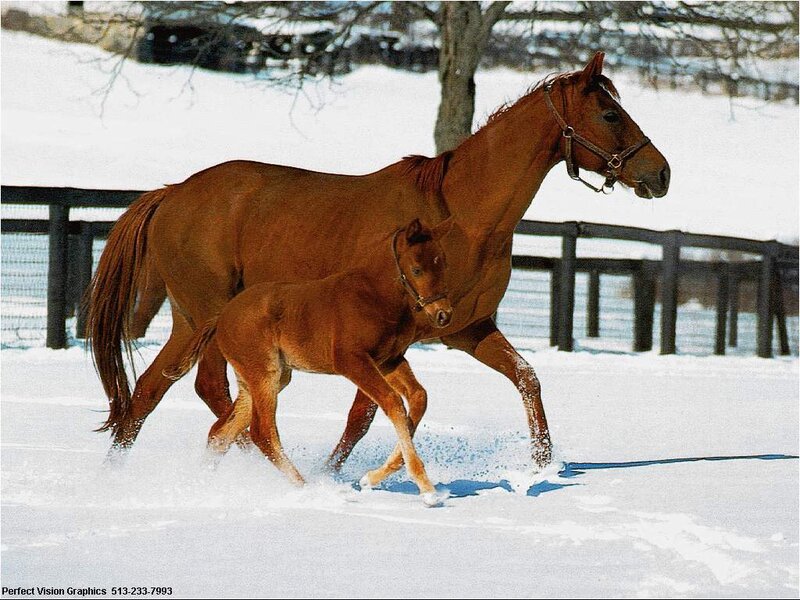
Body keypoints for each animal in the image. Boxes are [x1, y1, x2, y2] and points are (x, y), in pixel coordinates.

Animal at [87, 51, 670, 470]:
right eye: (610, 113)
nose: (661, 173)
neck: (459, 218)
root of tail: (172, 193)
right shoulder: (381, 341)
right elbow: (365, 414)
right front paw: (332, 473)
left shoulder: (467, 329)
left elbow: (527, 380)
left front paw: (544, 468)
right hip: (210, 318)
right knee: (211, 392)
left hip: (191, 322)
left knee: (150, 391)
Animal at [166, 218, 452, 505]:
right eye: (416, 269)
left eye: (443, 264)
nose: (443, 315)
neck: (373, 297)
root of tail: (222, 315)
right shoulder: (351, 361)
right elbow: (393, 403)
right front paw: (427, 490)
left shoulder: (388, 360)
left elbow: (418, 398)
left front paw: (371, 478)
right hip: (264, 374)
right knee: (262, 431)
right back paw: (307, 488)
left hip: (265, 378)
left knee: (221, 432)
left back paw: (201, 483)